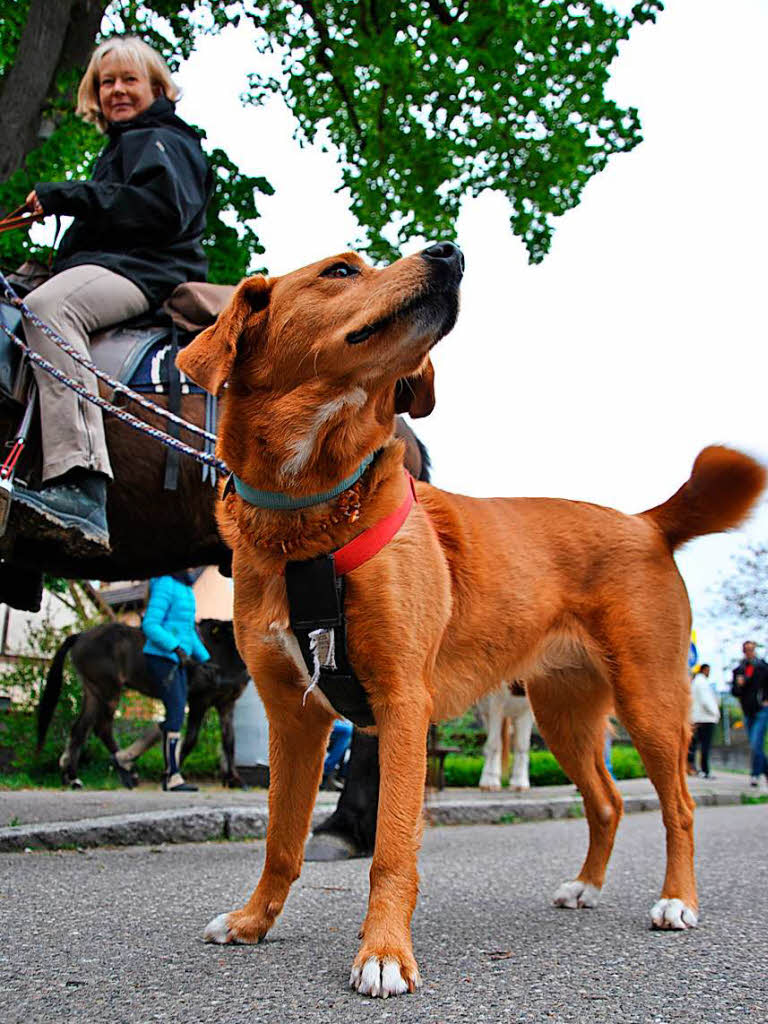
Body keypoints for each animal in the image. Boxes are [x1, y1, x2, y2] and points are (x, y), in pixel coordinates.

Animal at [176, 243, 768, 995]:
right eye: (340, 271)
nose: (448, 252)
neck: (311, 516)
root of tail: (645, 522)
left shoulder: (403, 703)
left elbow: (392, 847)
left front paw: (383, 953)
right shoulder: (294, 717)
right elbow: (281, 841)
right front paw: (254, 922)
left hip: (649, 700)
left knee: (679, 807)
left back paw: (677, 901)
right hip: (564, 715)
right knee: (606, 801)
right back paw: (586, 886)